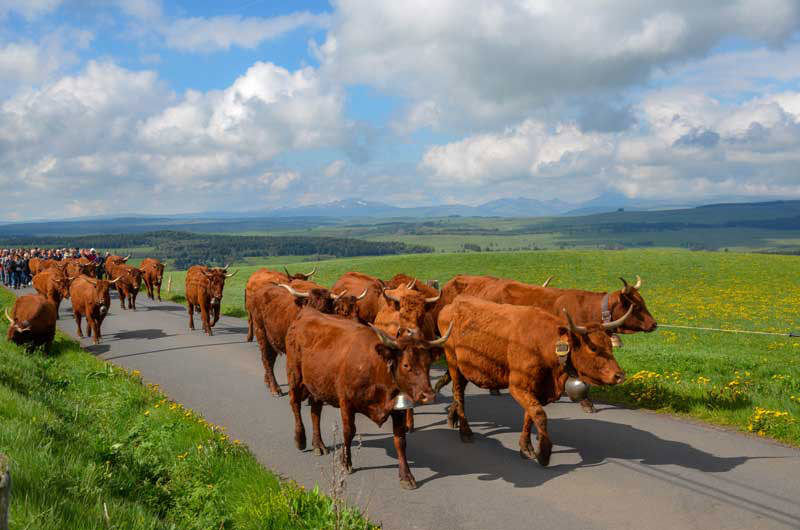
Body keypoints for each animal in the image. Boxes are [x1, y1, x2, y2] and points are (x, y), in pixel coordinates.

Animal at [285, 307, 452, 489]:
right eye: (406, 365)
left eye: (428, 364)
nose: (428, 396)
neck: (376, 369)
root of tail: (307, 312)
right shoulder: (346, 402)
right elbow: (348, 431)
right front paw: (346, 462)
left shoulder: (398, 409)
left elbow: (400, 440)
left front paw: (406, 476)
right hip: (295, 376)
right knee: (295, 404)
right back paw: (300, 439)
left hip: (317, 384)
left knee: (316, 412)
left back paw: (318, 445)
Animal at [438, 295, 631, 466]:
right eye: (593, 348)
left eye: (610, 345)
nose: (619, 375)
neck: (542, 343)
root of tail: (452, 304)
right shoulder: (518, 386)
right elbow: (539, 414)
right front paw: (544, 452)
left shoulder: (535, 389)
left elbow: (529, 416)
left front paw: (526, 447)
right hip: (453, 362)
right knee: (458, 392)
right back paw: (465, 431)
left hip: (464, 368)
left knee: (458, 393)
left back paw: (452, 417)